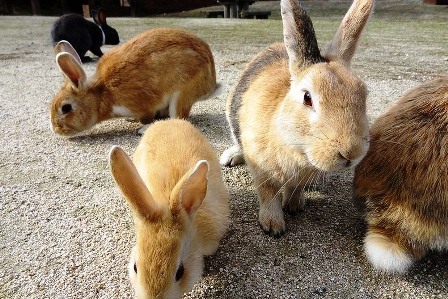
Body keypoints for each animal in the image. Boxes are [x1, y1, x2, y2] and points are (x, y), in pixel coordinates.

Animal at [50, 27, 218, 137]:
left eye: (66, 108)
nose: (56, 129)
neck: (101, 95)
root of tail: (210, 83)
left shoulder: (142, 105)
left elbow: (147, 116)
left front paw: (142, 126)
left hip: (181, 93)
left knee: (178, 117)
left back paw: (144, 130)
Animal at [219, 0, 372, 239]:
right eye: (307, 98)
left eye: (364, 94)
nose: (351, 153)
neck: (297, 149)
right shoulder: (262, 171)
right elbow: (268, 195)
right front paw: (273, 226)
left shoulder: (300, 178)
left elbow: (295, 188)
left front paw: (294, 205)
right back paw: (230, 157)